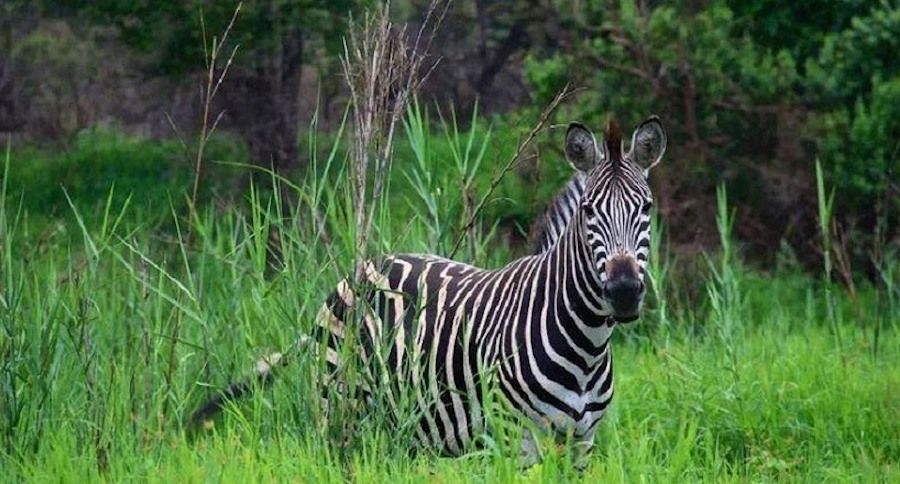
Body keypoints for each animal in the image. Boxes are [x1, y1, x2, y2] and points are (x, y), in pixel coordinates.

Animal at [192, 117, 668, 466]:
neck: (586, 344)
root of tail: (361, 270)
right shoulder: (516, 438)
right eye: (589, 211)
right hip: (339, 409)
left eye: (646, 207)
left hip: (404, 428)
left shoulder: (582, 443)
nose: (624, 292)